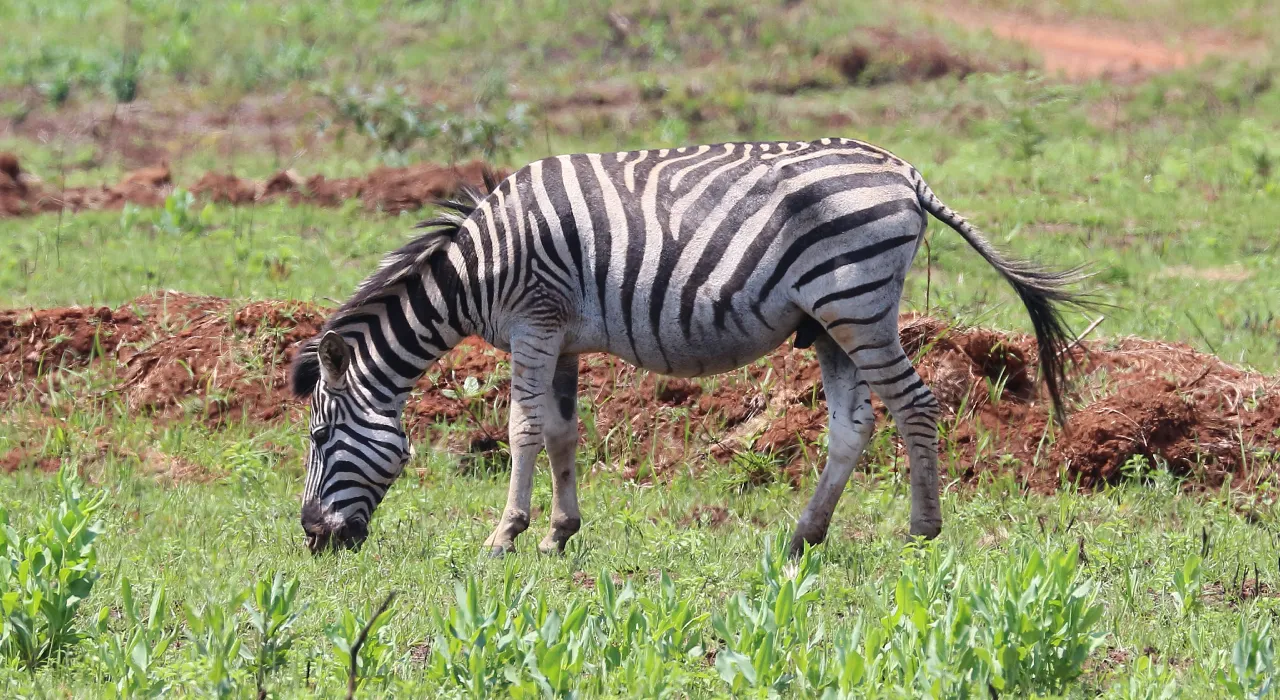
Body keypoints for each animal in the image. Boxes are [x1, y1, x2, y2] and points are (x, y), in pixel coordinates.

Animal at [285, 136, 1085, 555]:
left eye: (321, 437)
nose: (313, 537)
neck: (479, 268)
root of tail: (904, 172)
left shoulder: (535, 323)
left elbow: (521, 430)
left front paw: (504, 536)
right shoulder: (564, 338)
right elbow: (563, 432)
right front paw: (560, 533)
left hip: (857, 306)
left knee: (916, 405)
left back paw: (922, 531)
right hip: (833, 321)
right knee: (853, 425)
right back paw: (803, 536)